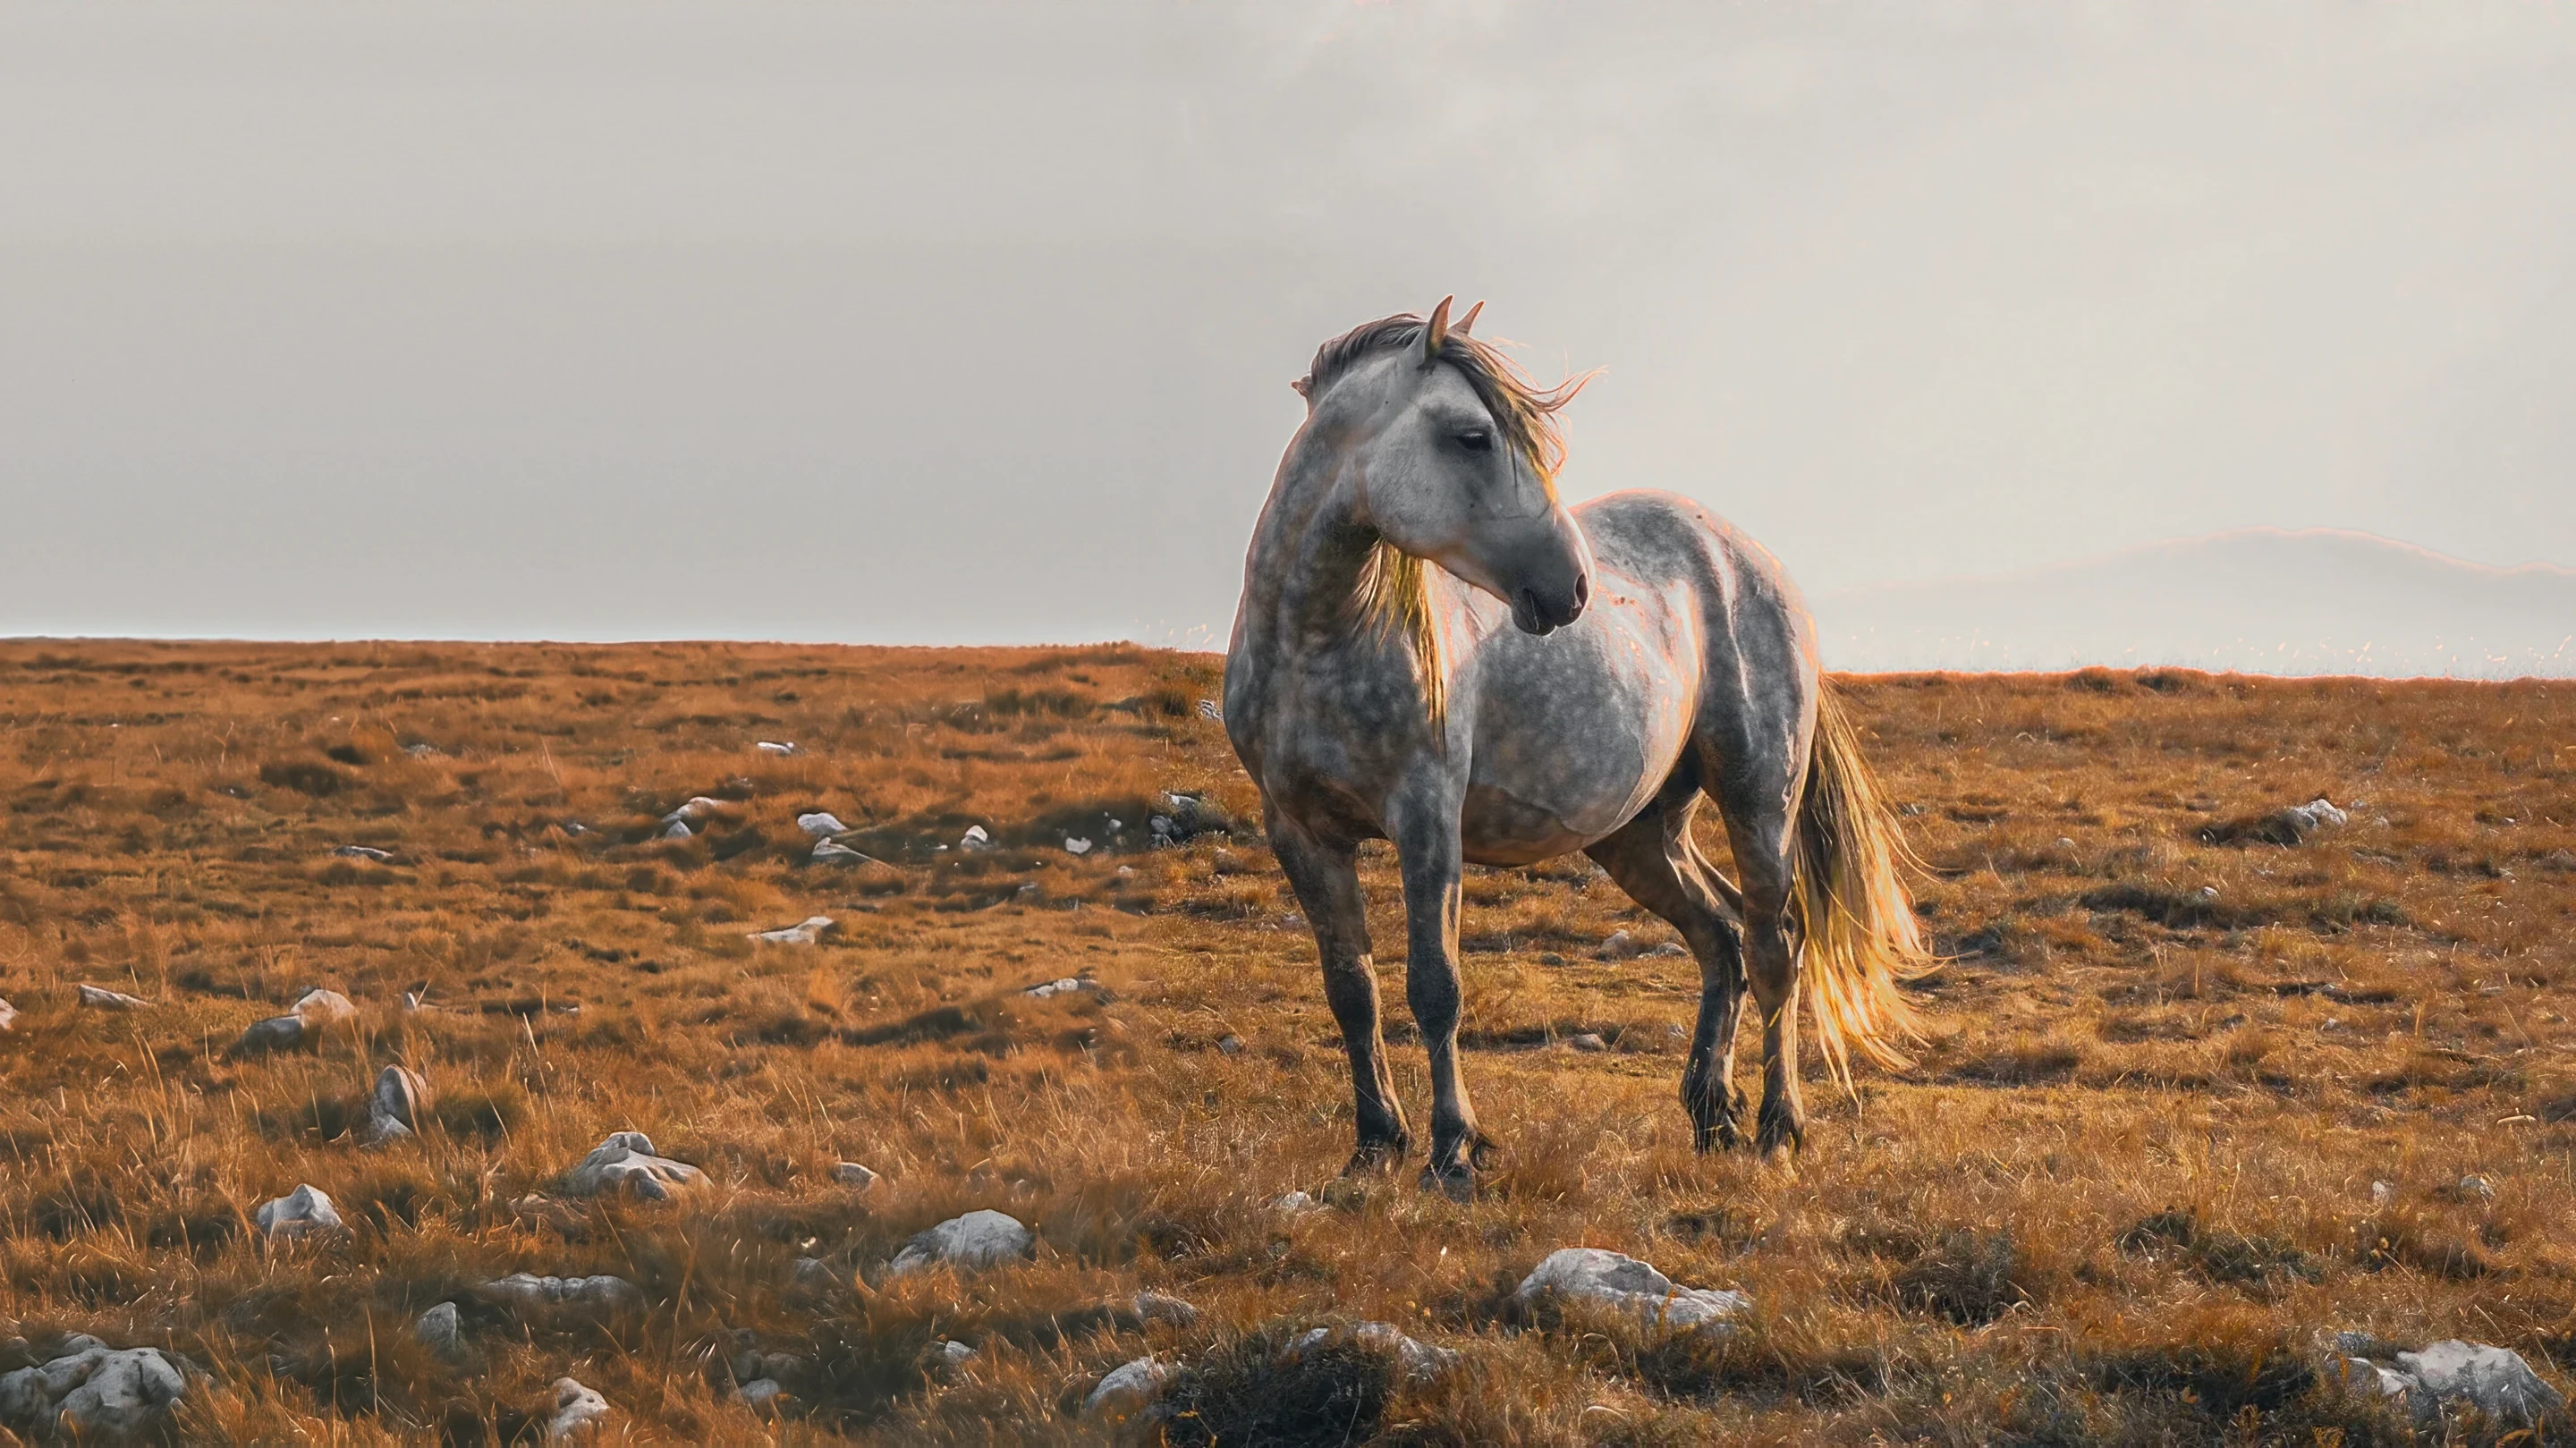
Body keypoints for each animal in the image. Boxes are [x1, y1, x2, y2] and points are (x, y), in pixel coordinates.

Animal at [1222, 297, 1930, 1196]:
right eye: (1471, 436)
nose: (1573, 588)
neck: (1316, 642)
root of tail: (1755, 561)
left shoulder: (1426, 818)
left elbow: (1435, 988)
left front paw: (1453, 1154)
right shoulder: (1299, 830)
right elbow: (1353, 991)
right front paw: (1375, 1145)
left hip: (1757, 798)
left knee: (1775, 946)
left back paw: (1777, 1127)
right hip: (1638, 834)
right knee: (1721, 936)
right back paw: (1712, 1114)